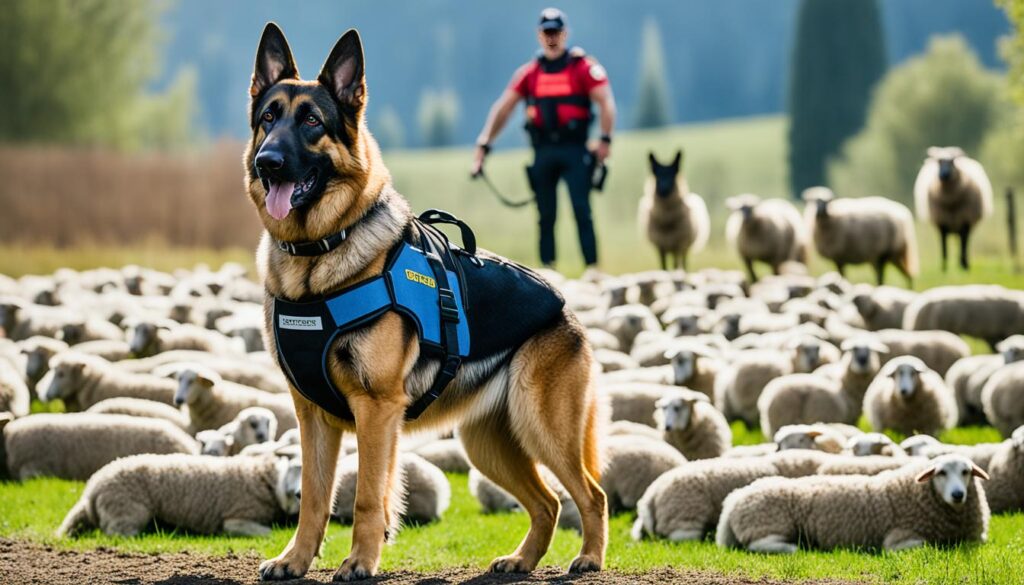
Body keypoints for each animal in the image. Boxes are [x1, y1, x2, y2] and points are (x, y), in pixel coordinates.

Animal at [58, 452, 299, 540]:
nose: (298, 493)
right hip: (127, 511)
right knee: (117, 534)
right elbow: (267, 533)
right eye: (297, 468)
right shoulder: (235, 519)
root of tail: (92, 487)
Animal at [242, 22, 602, 581]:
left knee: (591, 495)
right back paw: (521, 560)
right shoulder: (313, 418)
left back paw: (588, 558)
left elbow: (368, 497)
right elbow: (315, 499)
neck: (317, 256)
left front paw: (360, 562)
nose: (268, 162)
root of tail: (564, 308)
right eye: (268, 119)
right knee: (548, 503)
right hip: (489, 446)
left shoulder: (376, 410)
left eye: (311, 122)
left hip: (543, 430)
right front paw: (296, 560)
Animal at [716, 456, 987, 553]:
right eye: (940, 472)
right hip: (768, 524)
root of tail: (735, 498)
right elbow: (928, 545)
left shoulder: (976, 537)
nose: (958, 494)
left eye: (966, 471)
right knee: (756, 545)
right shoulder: (898, 538)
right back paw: (795, 547)